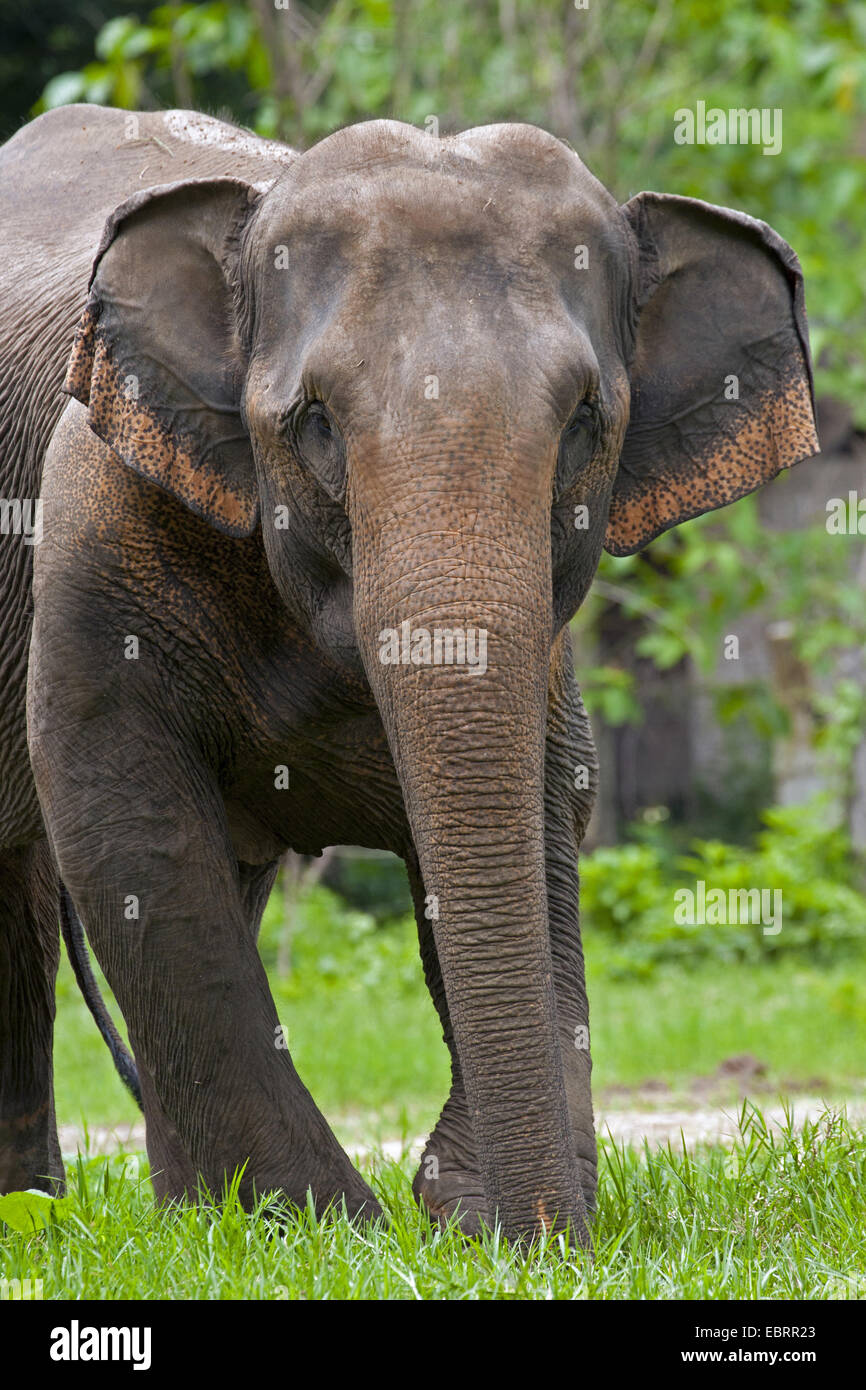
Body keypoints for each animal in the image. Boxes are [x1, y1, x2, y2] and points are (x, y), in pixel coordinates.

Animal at [0, 104, 818, 1245]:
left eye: (583, 424)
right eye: (314, 423)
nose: (543, 1246)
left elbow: (547, 797)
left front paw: (455, 1214)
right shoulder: (93, 504)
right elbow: (122, 811)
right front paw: (319, 1229)